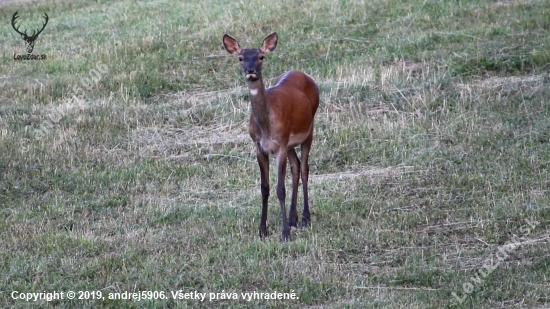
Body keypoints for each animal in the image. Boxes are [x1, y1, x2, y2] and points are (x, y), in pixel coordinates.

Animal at [223, 32, 322, 242]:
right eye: (240, 58)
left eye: (261, 57)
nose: (250, 70)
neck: (266, 127)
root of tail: (303, 74)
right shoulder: (259, 147)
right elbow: (265, 187)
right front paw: (262, 230)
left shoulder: (280, 146)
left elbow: (280, 189)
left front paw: (284, 234)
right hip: (290, 143)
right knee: (296, 166)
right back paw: (293, 218)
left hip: (309, 129)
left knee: (305, 168)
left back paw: (304, 218)